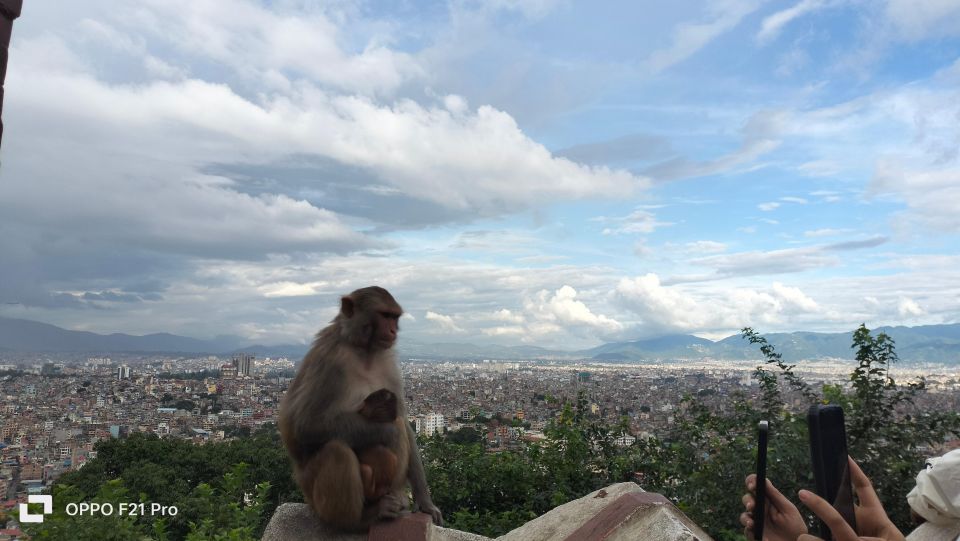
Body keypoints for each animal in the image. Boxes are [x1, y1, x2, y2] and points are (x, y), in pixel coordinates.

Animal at [278, 284, 442, 528]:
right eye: (385, 315)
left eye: (394, 317)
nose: (393, 331)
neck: (364, 351)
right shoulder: (330, 362)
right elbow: (306, 426)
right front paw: (389, 431)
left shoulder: (389, 363)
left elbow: (405, 422)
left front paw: (424, 502)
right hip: (314, 497)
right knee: (337, 451)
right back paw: (357, 520)